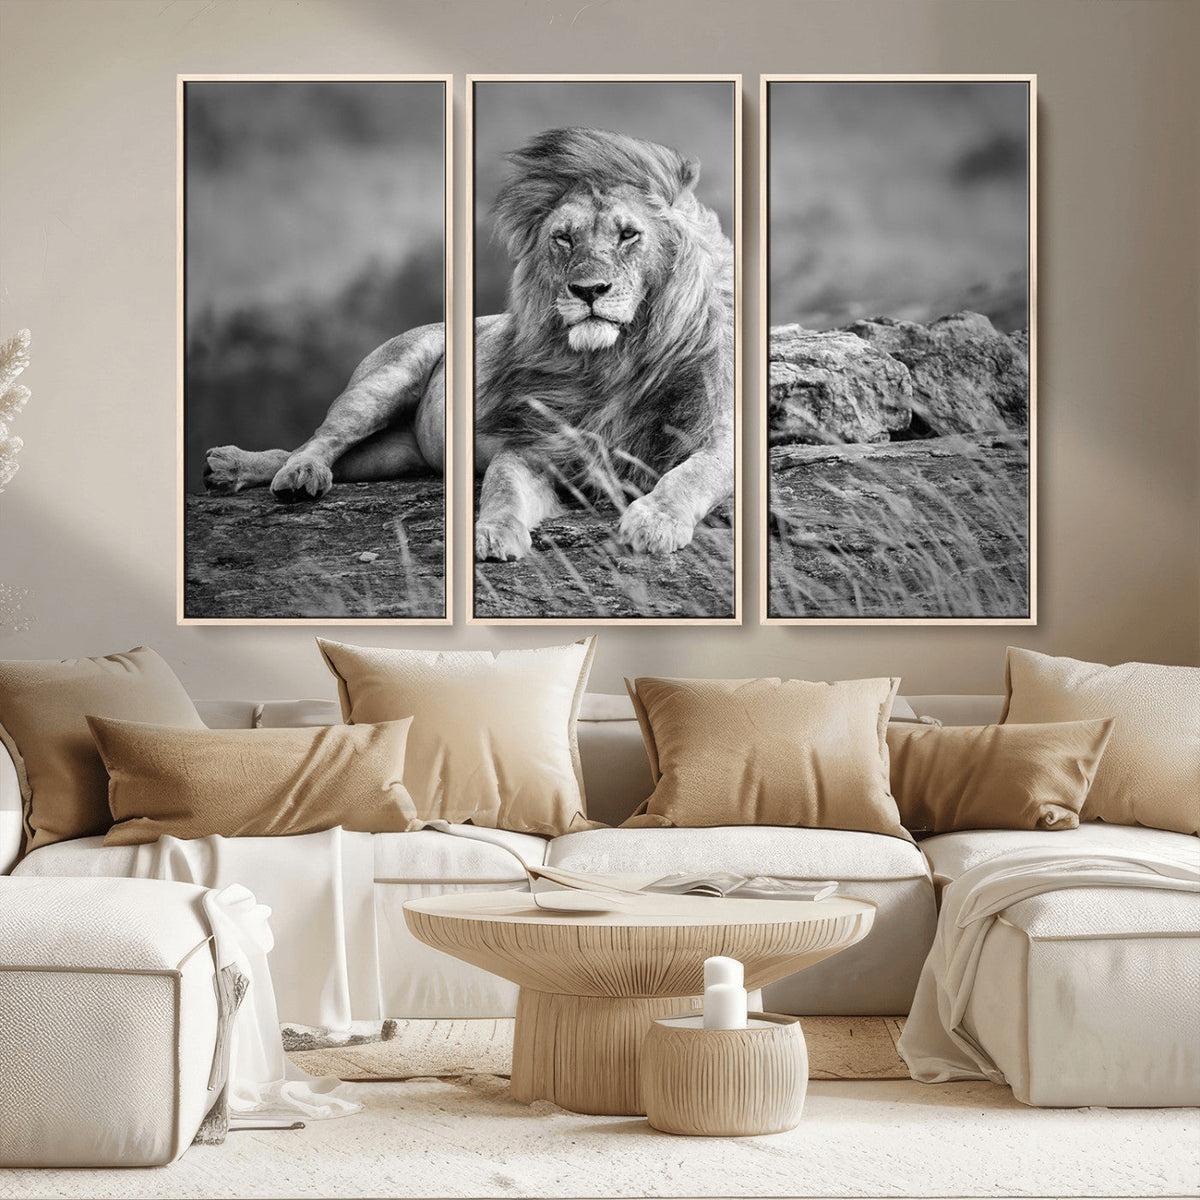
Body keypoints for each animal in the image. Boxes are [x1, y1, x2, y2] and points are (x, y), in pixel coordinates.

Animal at [204, 126, 735, 560]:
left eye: (629, 235)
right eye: (563, 238)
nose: (587, 290)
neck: (614, 361)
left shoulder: (718, 437)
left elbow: (692, 473)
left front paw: (654, 520)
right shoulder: (532, 444)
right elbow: (501, 487)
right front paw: (491, 533)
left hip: (394, 455)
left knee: (318, 453)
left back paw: (234, 469)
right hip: (384, 380)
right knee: (319, 439)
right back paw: (286, 474)